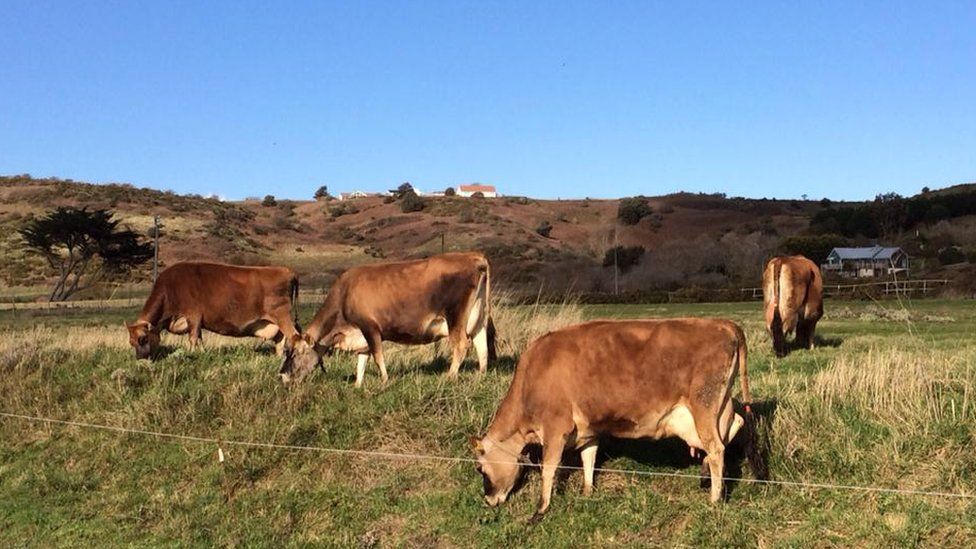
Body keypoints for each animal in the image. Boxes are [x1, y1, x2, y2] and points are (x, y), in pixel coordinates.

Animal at [127, 262, 300, 360]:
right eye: (131, 342)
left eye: (143, 338)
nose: (140, 359)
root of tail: (287, 271)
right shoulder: (197, 321)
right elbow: (200, 338)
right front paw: (202, 352)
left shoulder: (193, 316)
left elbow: (193, 338)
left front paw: (191, 354)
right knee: (281, 340)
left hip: (283, 316)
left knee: (294, 336)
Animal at [280, 252, 496, 386]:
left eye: (294, 354)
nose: (281, 375)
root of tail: (473, 256)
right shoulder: (361, 335)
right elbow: (362, 359)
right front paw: (357, 384)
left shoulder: (369, 327)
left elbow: (376, 355)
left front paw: (384, 380)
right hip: (478, 318)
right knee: (482, 345)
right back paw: (481, 375)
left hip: (455, 316)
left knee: (462, 344)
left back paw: (450, 376)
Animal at [468, 316, 764, 520]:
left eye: (481, 469)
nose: (488, 500)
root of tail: (724, 324)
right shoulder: (589, 430)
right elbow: (589, 458)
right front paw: (587, 492)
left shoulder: (555, 427)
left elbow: (549, 469)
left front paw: (540, 510)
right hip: (716, 406)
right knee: (733, 426)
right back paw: (706, 476)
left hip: (703, 405)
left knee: (716, 448)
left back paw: (714, 499)